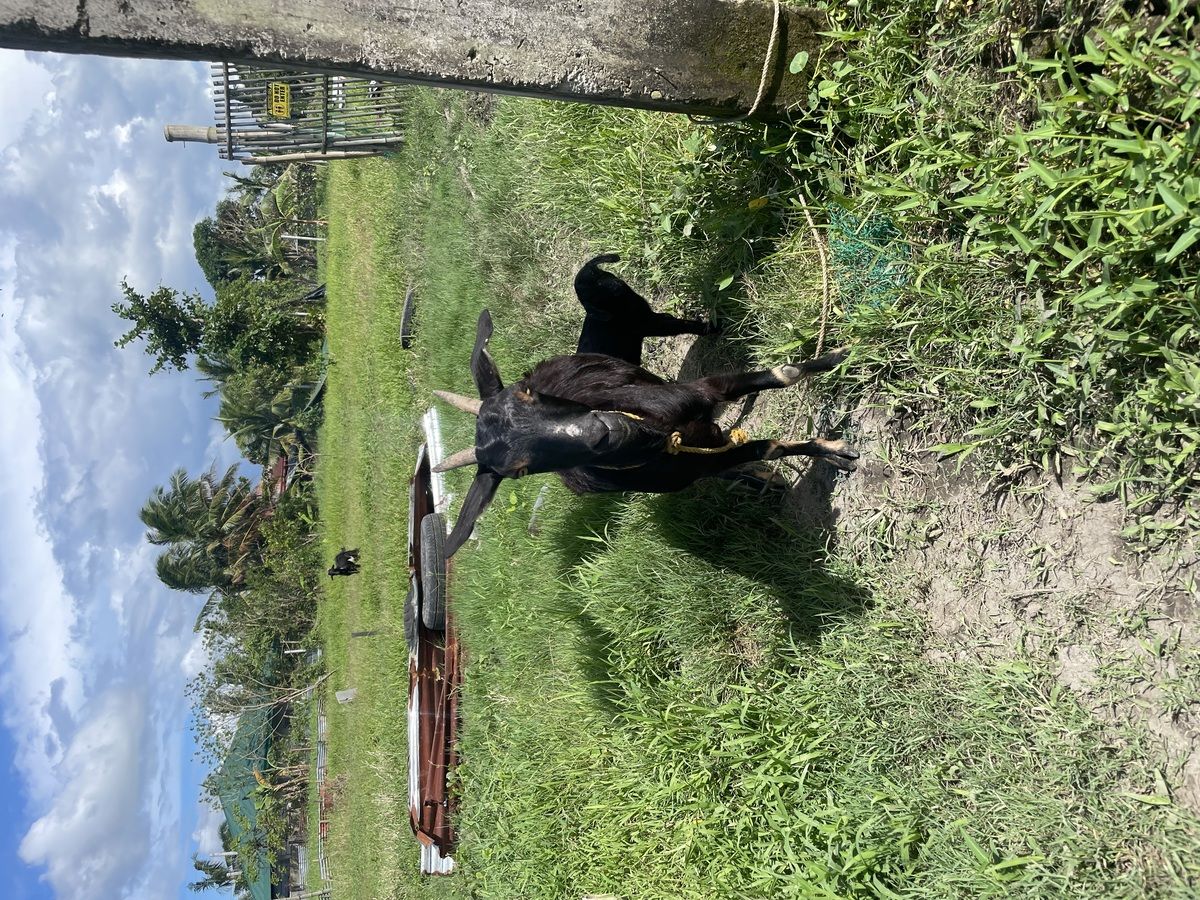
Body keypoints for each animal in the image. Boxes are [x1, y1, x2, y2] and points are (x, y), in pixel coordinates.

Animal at [432, 254, 858, 557]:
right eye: (517, 472)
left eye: (527, 391)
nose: (604, 432)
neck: (662, 433)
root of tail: (586, 275)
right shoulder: (699, 465)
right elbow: (764, 449)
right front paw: (827, 453)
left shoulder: (703, 390)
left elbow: (784, 373)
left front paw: (838, 357)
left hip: (647, 316)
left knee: (682, 324)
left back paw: (718, 325)